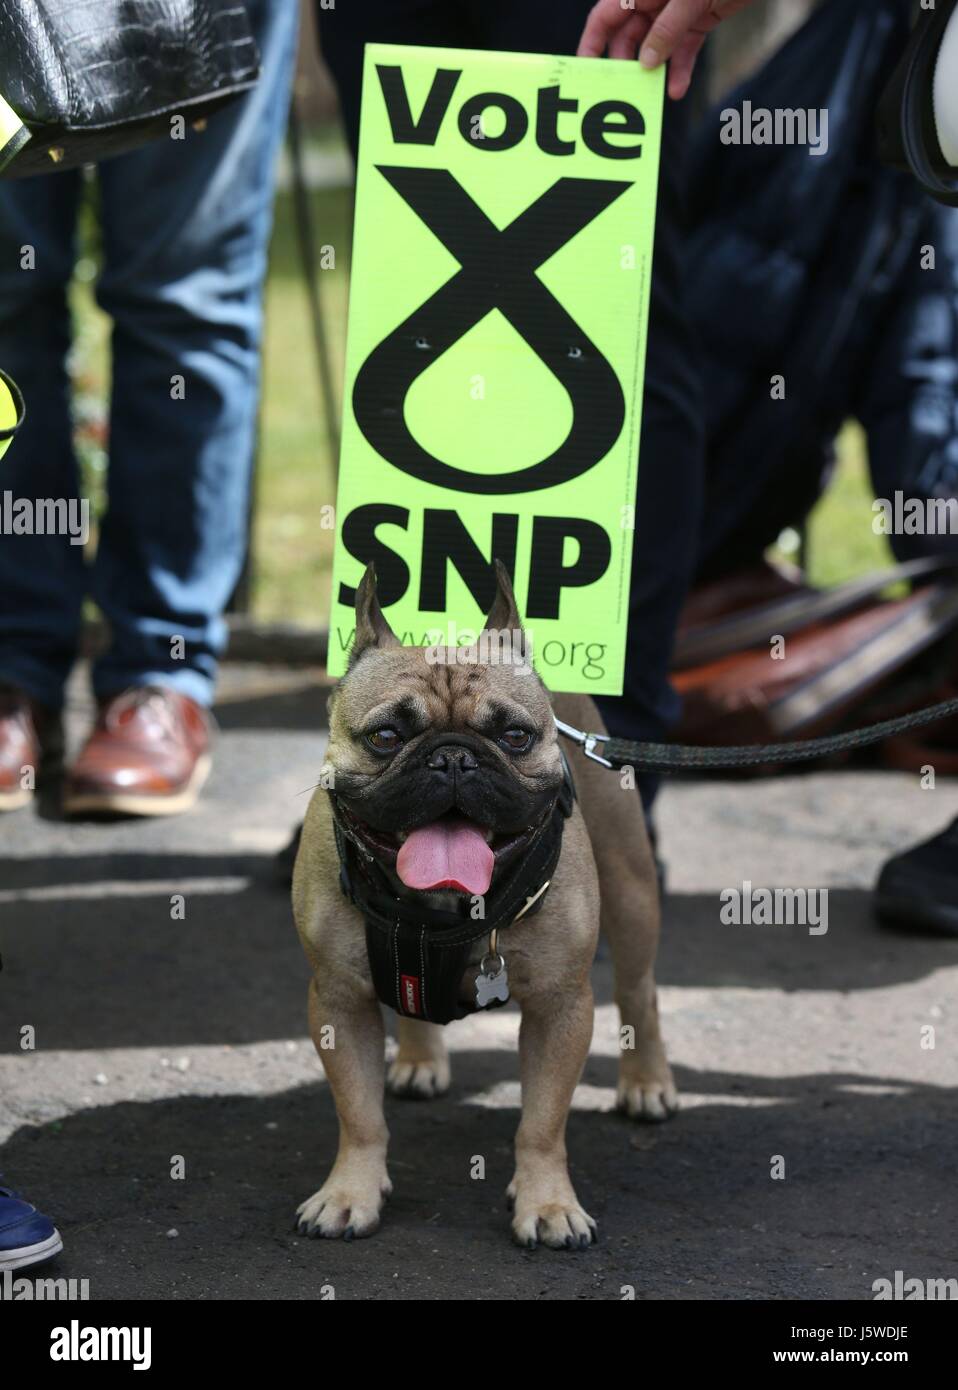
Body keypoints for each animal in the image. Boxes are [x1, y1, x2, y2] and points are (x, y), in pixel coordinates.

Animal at [291, 561, 672, 1251]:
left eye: (515, 736)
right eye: (385, 736)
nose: (452, 757)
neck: (439, 910)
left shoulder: (560, 1007)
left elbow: (542, 1123)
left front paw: (548, 1206)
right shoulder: (337, 1001)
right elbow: (359, 1113)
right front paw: (349, 1194)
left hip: (632, 890)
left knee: (639, 992)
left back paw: (647, 1082)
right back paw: (419, 1060)